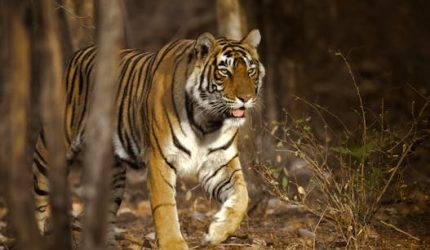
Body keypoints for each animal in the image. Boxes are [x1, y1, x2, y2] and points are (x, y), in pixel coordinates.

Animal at [31, 28, 266, 248]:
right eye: (224, 72)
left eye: (251, 70)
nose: (246, 98)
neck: (208, 122)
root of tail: (77, 54)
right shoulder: (160, 158)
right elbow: (165, 207)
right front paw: (173, 244)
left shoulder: (219, 161)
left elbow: (242, 196)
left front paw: (216, 232)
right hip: (50, 152)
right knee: (38, 195)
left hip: (113, 173)